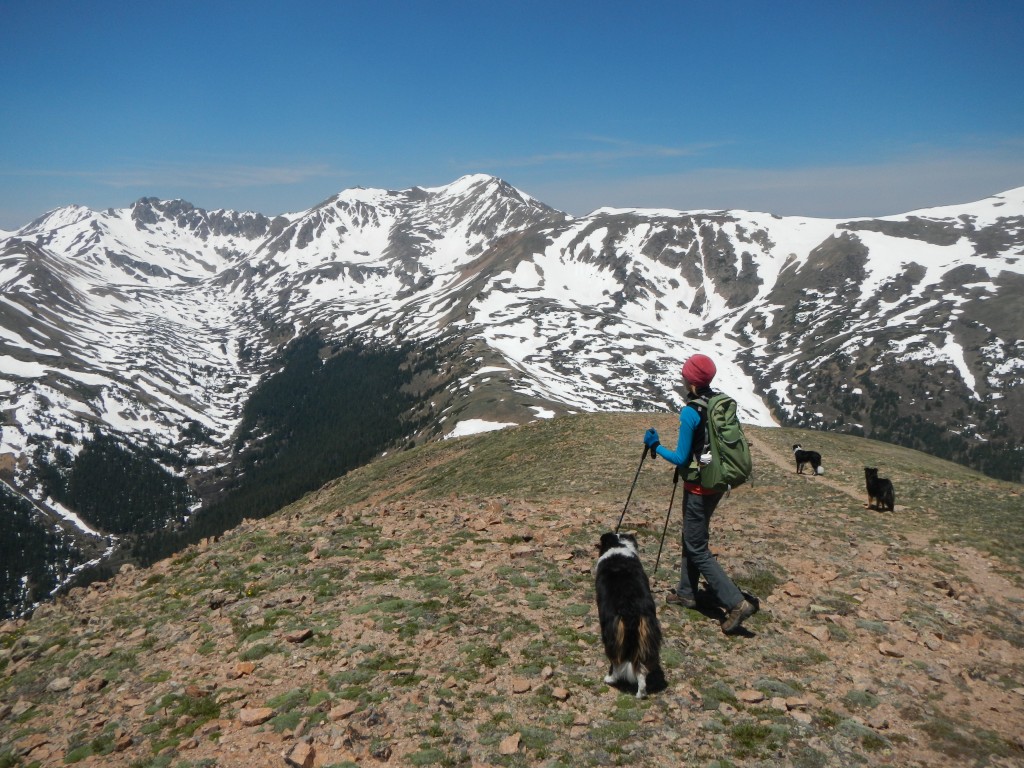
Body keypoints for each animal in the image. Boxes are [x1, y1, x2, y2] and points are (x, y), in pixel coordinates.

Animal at [593, 532, 663, 700]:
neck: (618, 546)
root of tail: (631, 612)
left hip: (614, 636)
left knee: (617, 662)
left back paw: (609, 679)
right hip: (647, 635)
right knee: (641, 670)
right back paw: (640, 694)